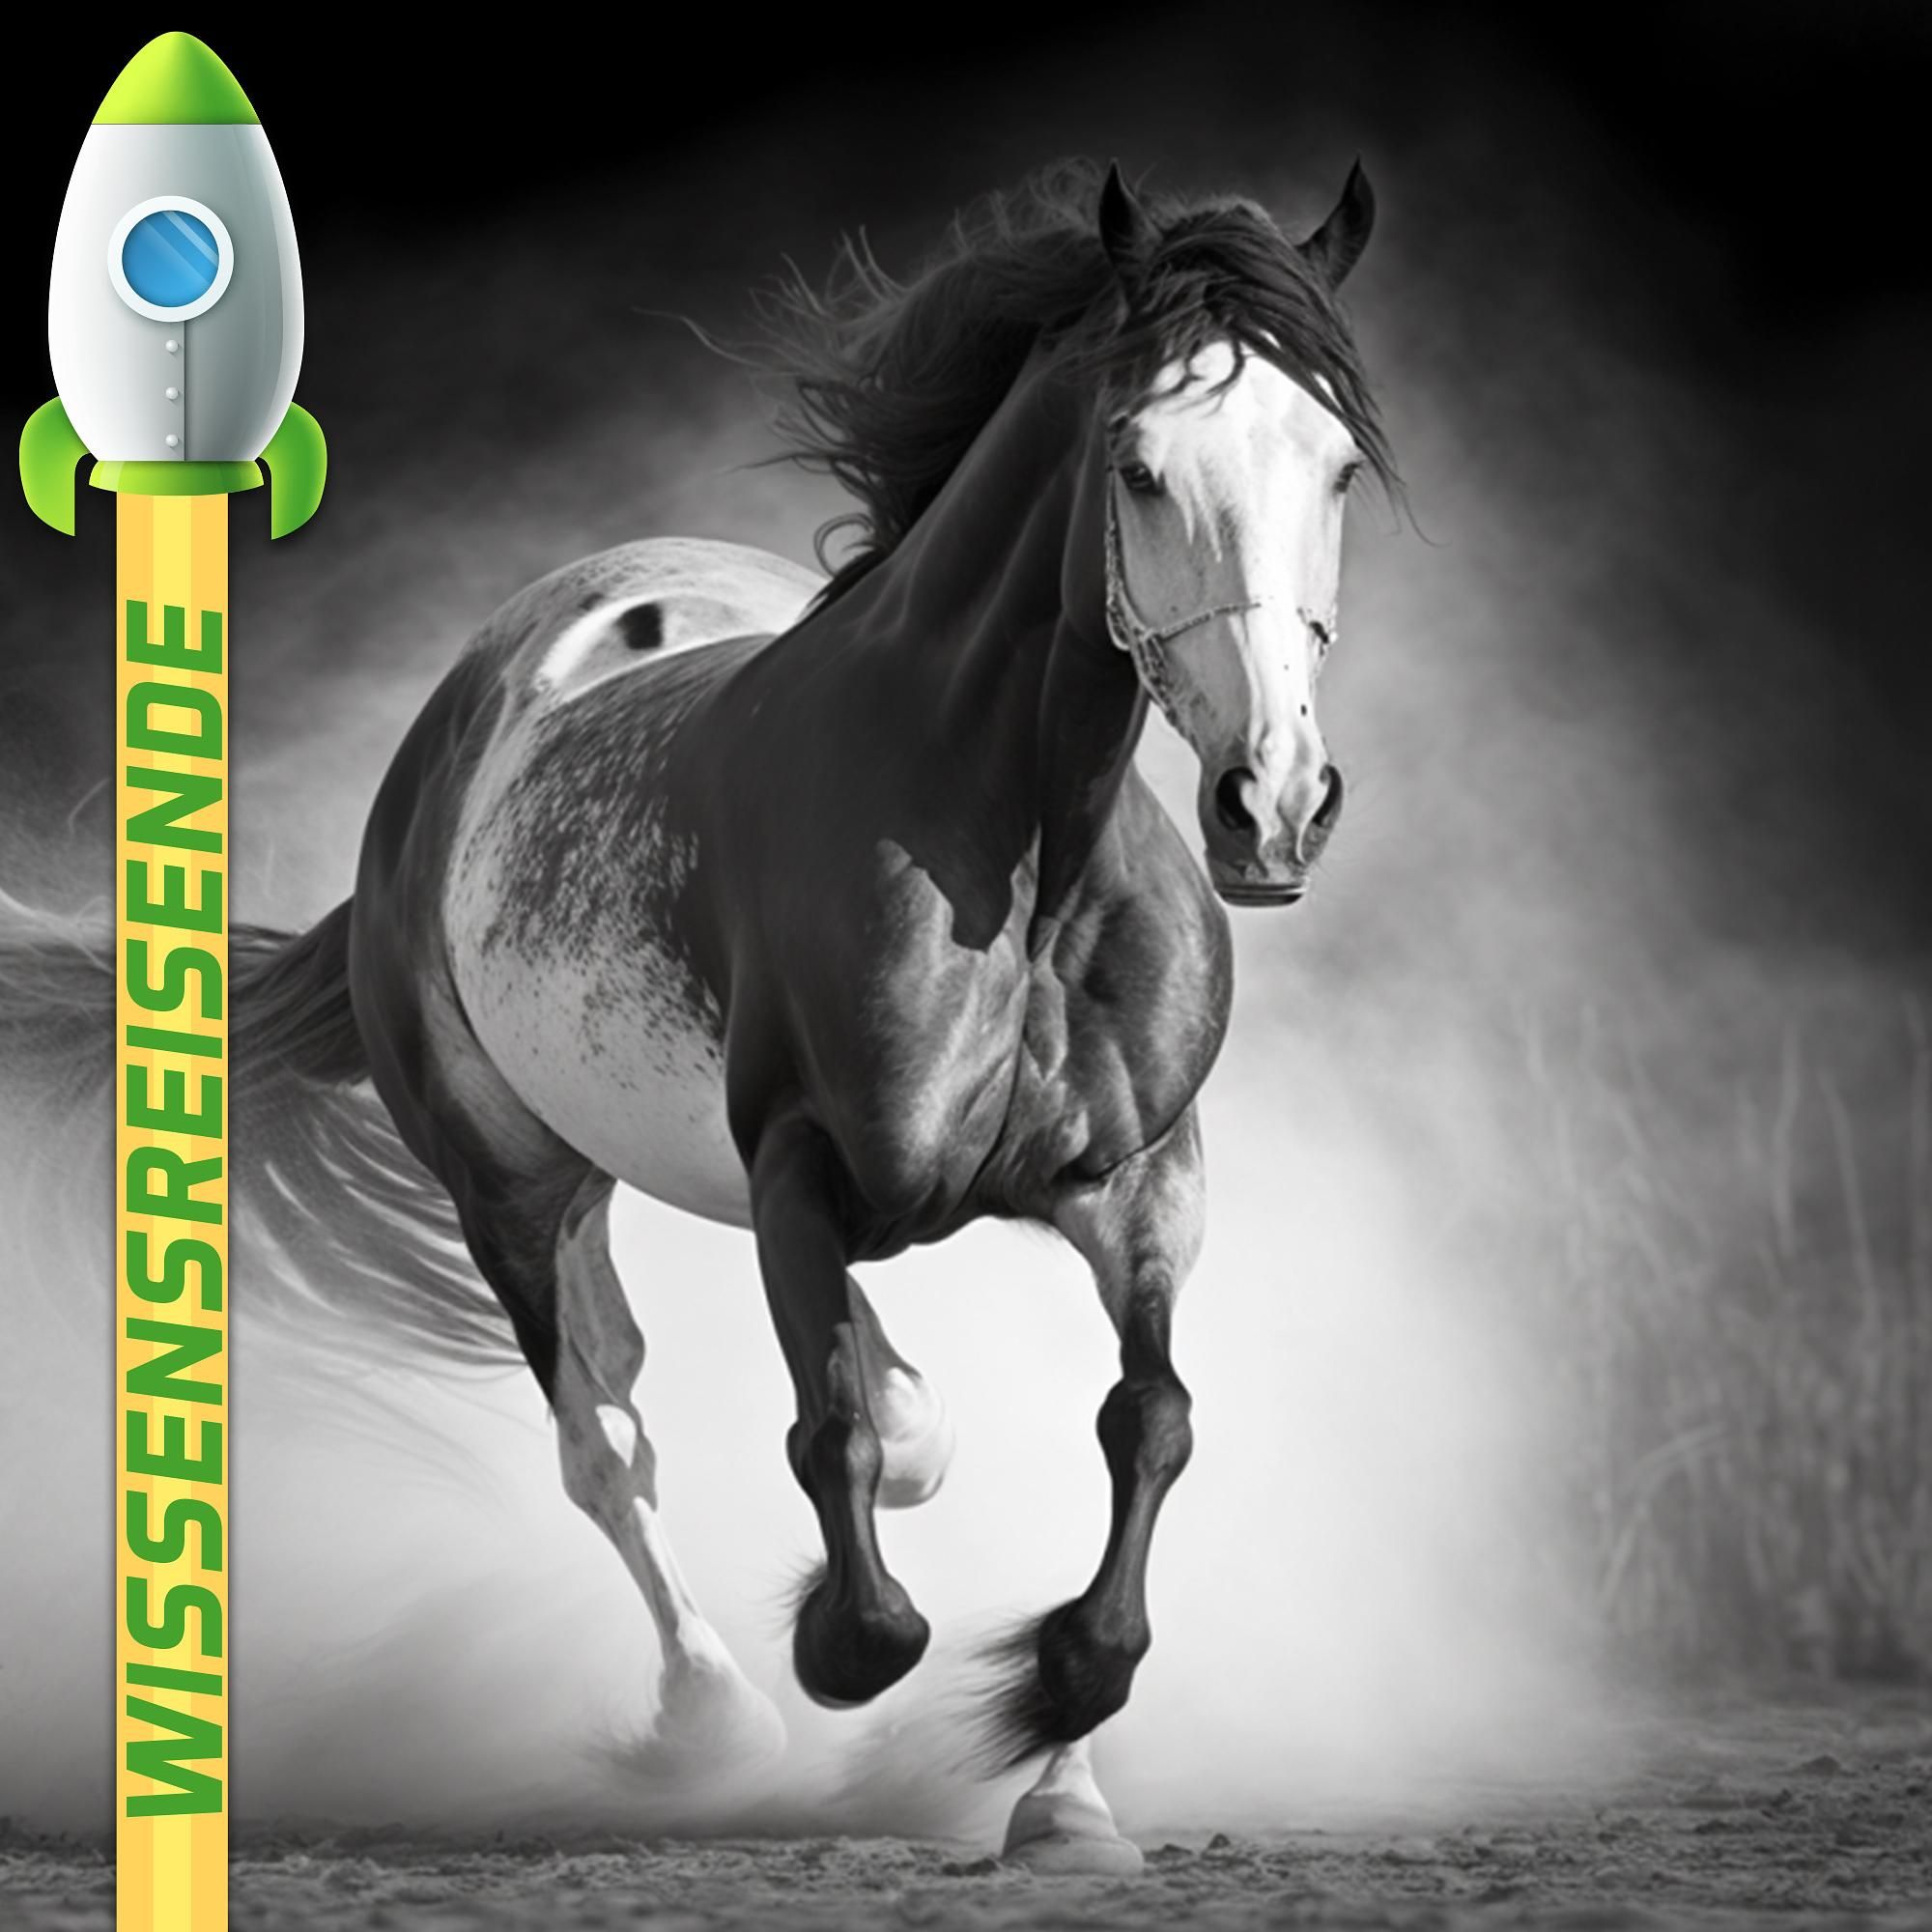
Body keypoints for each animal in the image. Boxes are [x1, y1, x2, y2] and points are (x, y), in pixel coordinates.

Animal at [6, 158, 1396, 1871]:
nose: (1275, 802)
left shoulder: (1138, 1186)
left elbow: (1147, 1421)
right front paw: (861, 1658)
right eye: (1139, 468)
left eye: (1337, 467)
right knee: (607, 1438)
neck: (1012, 850)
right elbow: (829, 1457)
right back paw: (710, 1719)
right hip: (511, 1182)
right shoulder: (799, 1168)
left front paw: (1063, 1764)